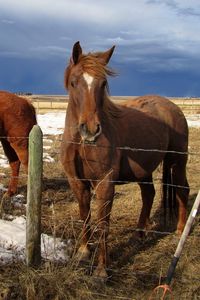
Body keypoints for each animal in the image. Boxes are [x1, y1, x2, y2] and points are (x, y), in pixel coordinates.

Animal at [61, 41, 189, 278]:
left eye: (103, 83)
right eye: (74, 82)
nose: (91, 130)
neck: (80, 144)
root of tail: (173, 107)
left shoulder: (105, 183)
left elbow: (103, 223)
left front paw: (102, 271)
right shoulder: (77, 182)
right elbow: (85, 214)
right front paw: (84, 251)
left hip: (178, 162)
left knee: (182, 190)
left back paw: (179, 230)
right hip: (145, 170)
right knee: (149, 194)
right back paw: (139, 234)